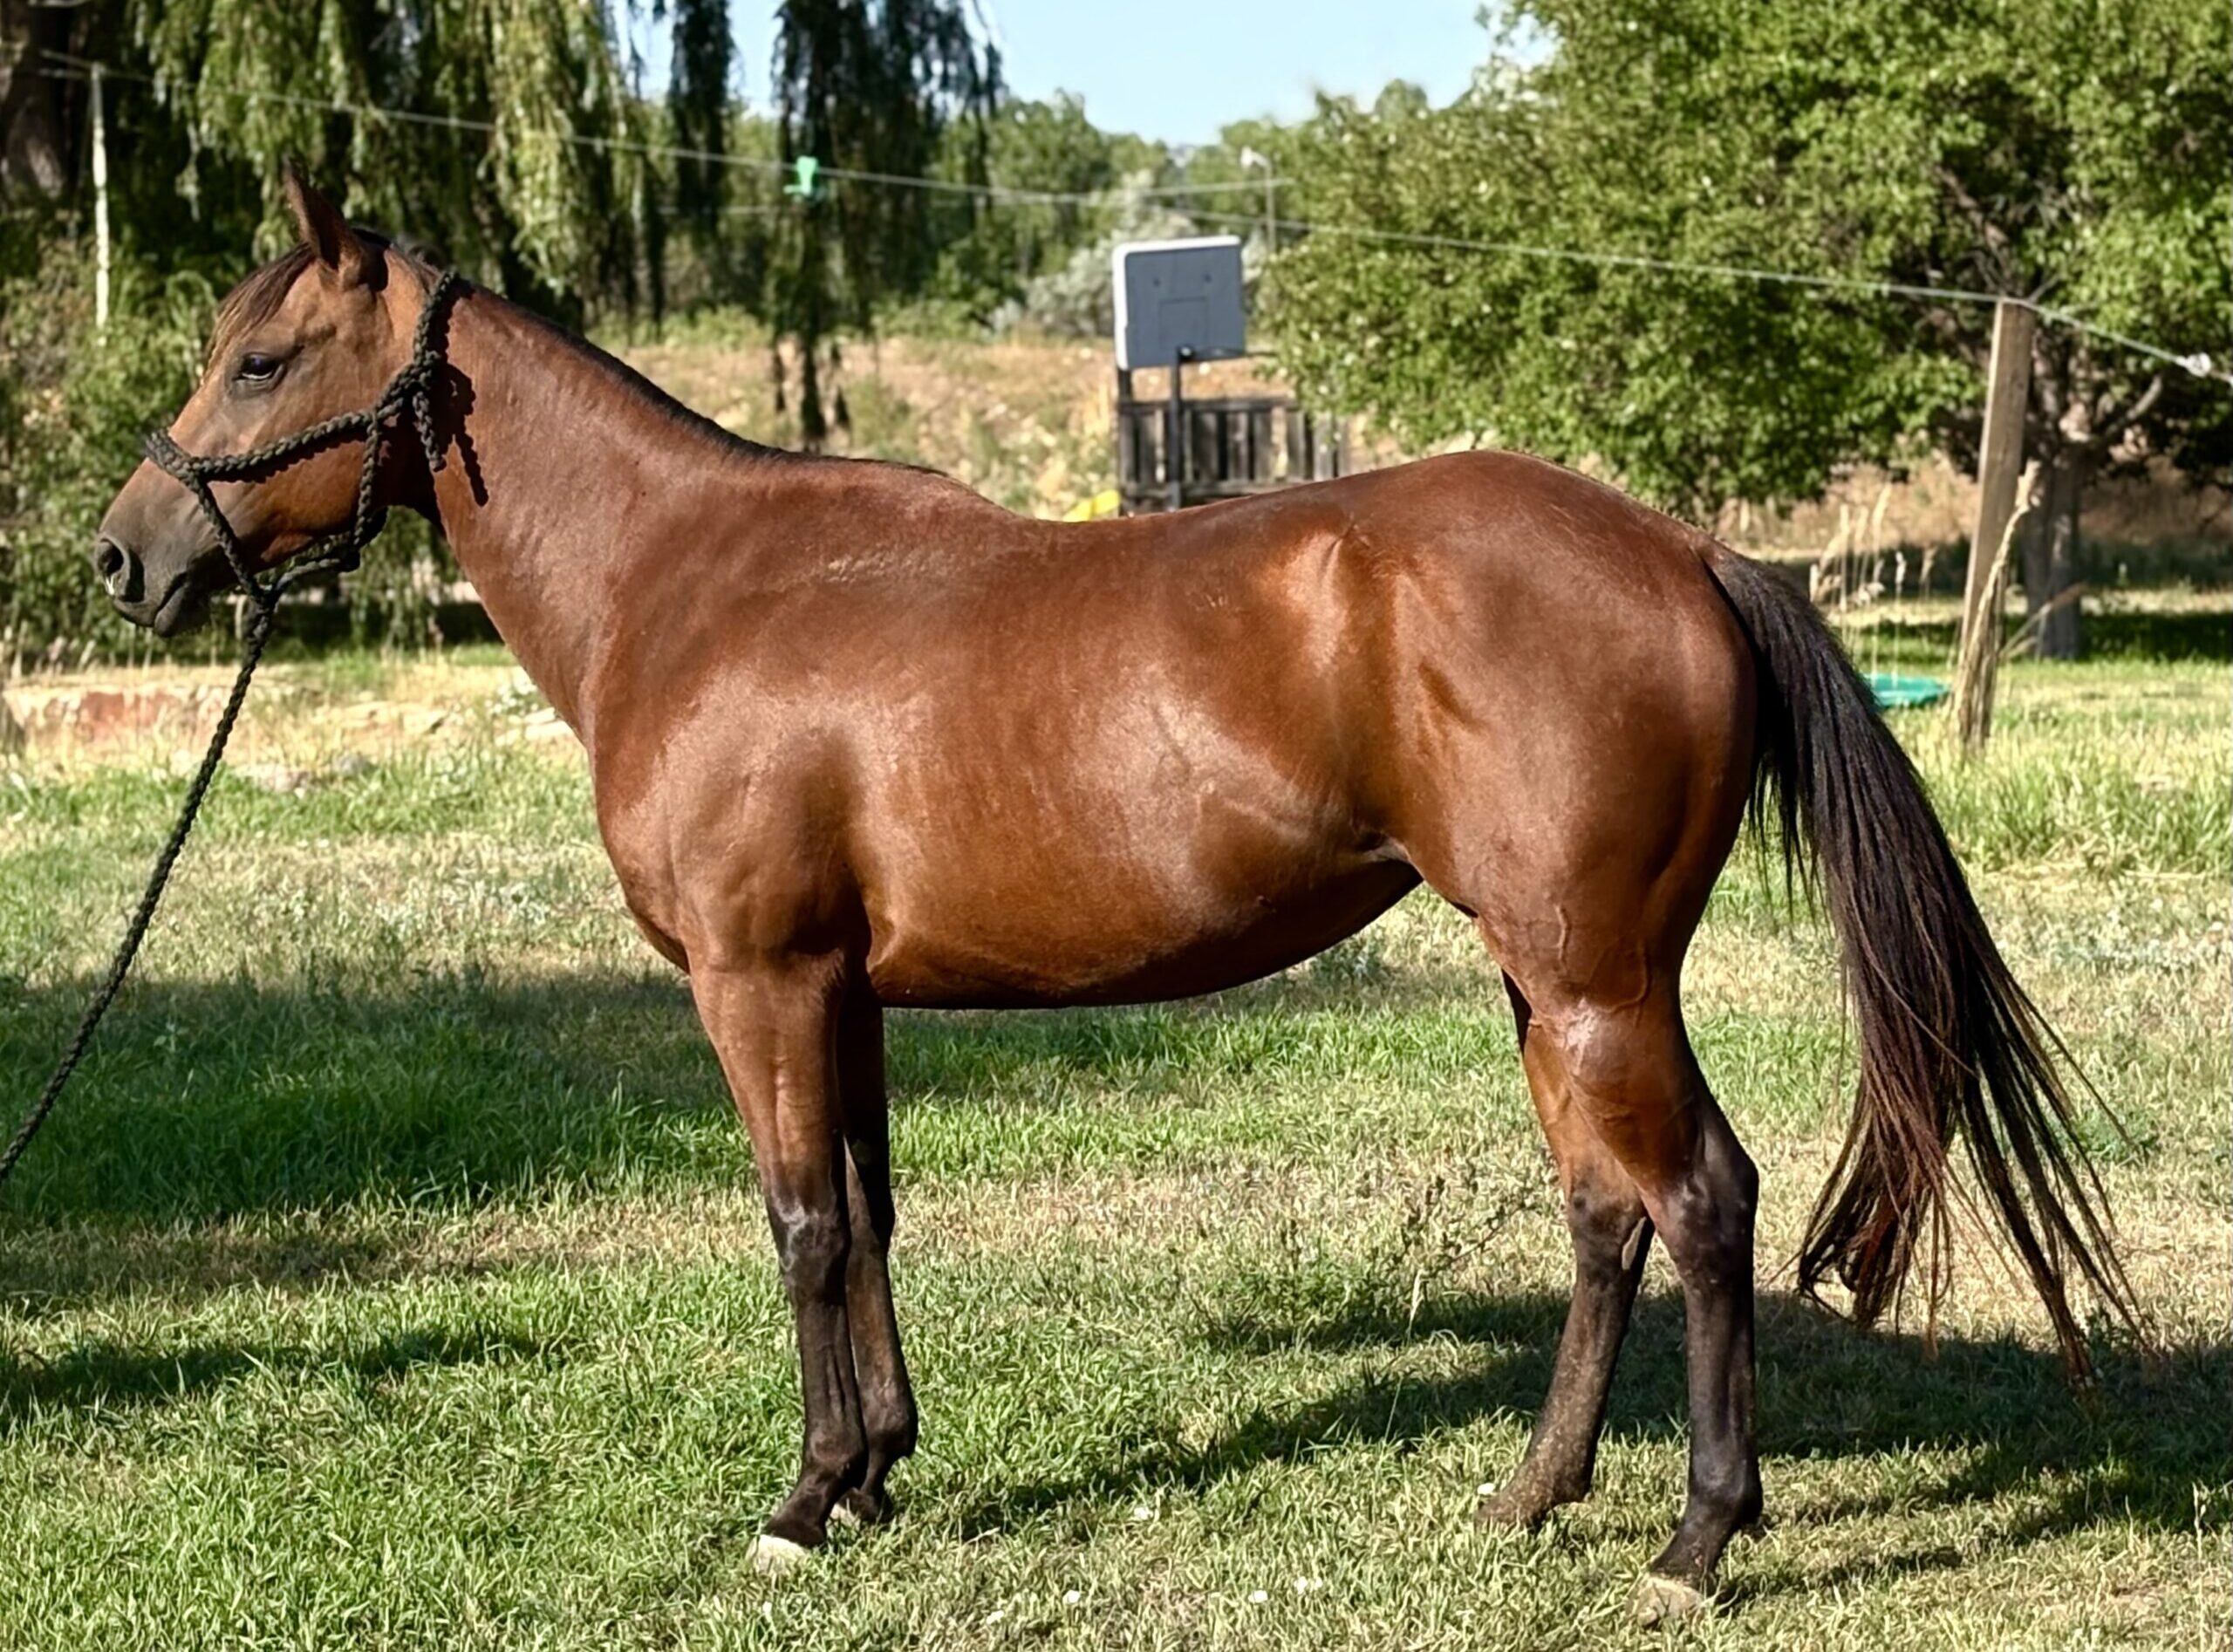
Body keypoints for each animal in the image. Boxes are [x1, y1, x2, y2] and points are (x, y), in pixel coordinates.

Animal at [92, 173, 2135, 1618]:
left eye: (260, 361)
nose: (123, 556)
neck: (695, 580)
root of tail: (1687, 549)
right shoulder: (841, 989)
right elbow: (869, 1214)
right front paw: (882, 1469)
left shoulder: (759, 980)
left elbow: (800, 1227)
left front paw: (802, 1499)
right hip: (1547, 985)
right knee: (1603, 1215)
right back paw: (1533, 1493)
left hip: (1596, 978)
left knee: (1701, 1202)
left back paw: (1695, 1539)